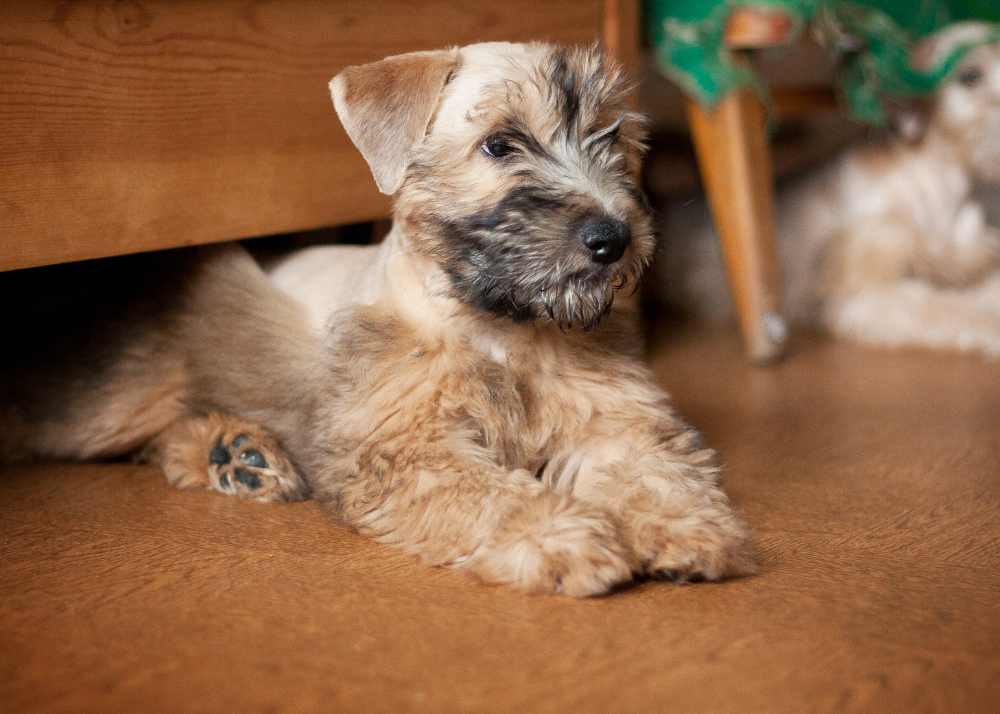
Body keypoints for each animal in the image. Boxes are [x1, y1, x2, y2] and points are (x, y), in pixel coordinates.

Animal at [0, 41, 752, 592]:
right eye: (501, 144)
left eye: (610, 138)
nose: (613, 238)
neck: (502, 331)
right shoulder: (408, 448)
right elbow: (492, 493)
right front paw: (563, 540)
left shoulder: (613, 418)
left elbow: (649, 468)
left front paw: (687, 529)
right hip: (117, 397)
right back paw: (230, 450)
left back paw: (235, 454)